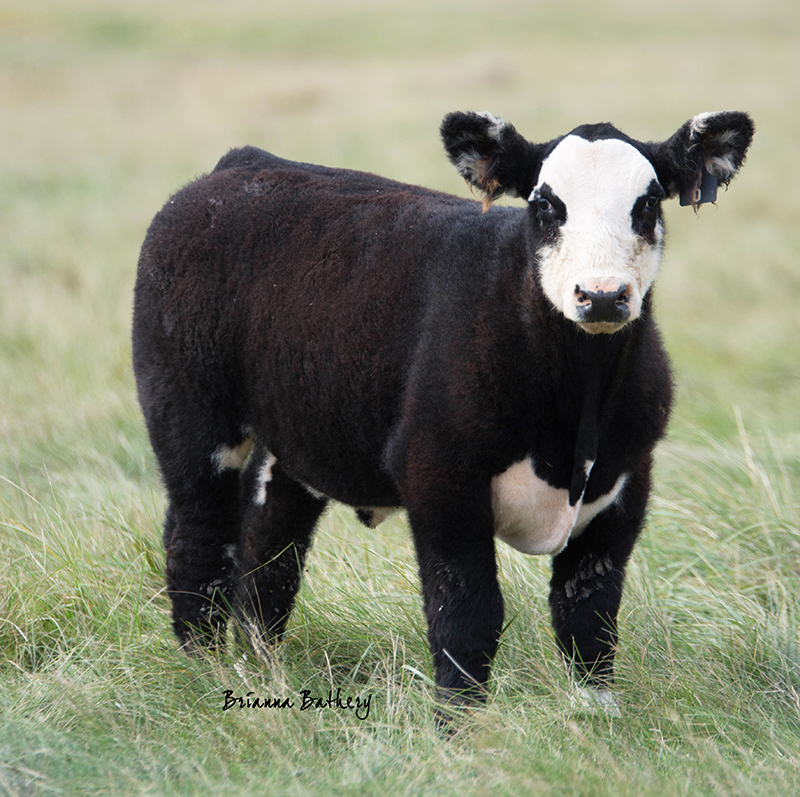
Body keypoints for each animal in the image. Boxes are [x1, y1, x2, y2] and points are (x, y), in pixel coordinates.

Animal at [132, 110, 753, 718]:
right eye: (545, 204)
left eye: (647, 204)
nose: (601, 295)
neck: (575, 420)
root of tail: (244, 164)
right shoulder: (438, 473)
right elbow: (467, 614)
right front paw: (461, 728)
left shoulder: (626, 481)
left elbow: (588, 616)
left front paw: (596, 718)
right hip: (191, 416)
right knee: (199, 539)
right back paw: (205, 672)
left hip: (293, 435)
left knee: (270, 548)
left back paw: (260, 668)